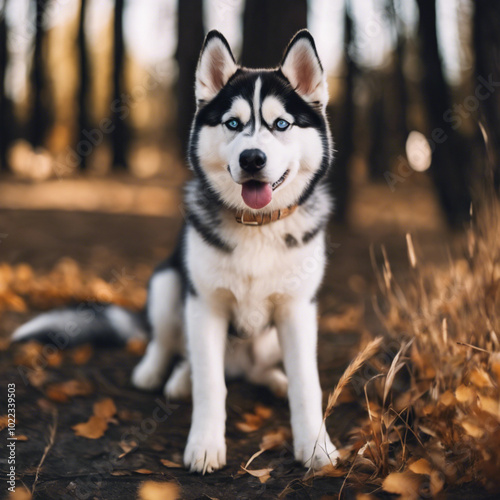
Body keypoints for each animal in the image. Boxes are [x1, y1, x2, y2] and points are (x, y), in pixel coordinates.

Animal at [12, 30, 340, 472]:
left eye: (281, 124)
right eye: (233, 123)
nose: (252, 158)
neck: (257, 227)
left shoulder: (297, 310)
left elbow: (307, 385)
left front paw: (316, 447)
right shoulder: (203, 305)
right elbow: (209, 384)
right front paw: (204, 443)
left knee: (257, 370)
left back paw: (273, 379)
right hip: (168, 283)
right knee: (170, 345)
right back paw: (162, 374)